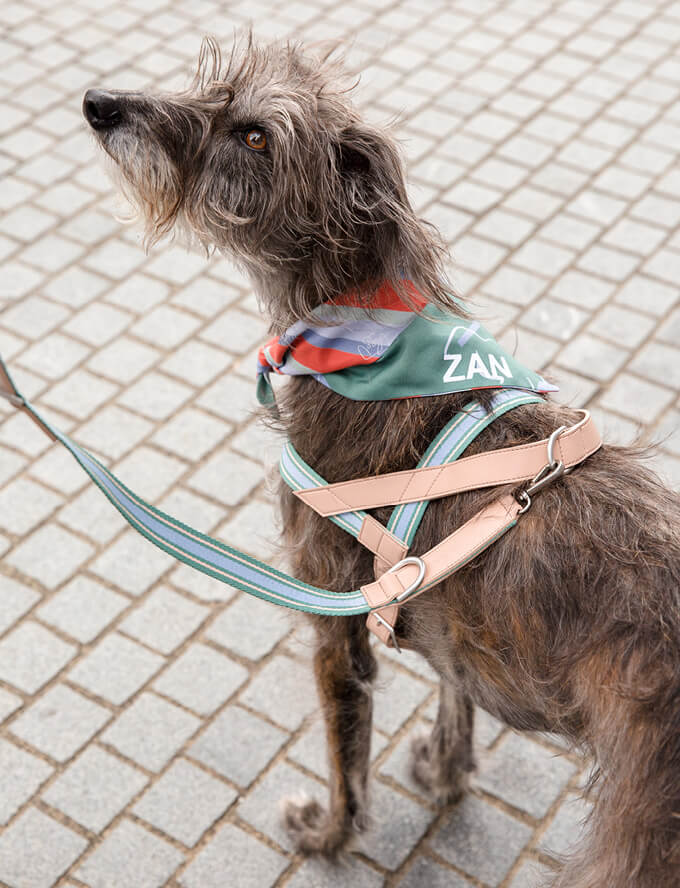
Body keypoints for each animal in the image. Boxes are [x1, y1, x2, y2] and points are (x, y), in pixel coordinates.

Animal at [85, 36, 680, 888]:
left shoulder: (331, 618)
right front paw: (447, 766)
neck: (361, 329)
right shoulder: (440, 608)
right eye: (212, 87)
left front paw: (330, 837)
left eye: (254, 135)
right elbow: (455, 686)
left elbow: (348, 760)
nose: (100, 105)